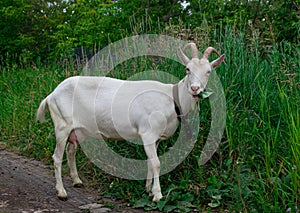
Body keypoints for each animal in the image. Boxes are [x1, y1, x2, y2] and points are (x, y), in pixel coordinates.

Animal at [36, 42, 225, 201]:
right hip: (62, 125)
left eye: (208, 71)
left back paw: (77, 181)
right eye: (187, 69)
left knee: (70, 151)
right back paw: (61, 192)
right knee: (57, 156)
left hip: (78, 130)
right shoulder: (148, 133)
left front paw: (148, 189)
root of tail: (52, 94)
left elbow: (150, 162)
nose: (195, 89)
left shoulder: (155, 138)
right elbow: (157, 163)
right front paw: (158, 195)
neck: (171, 99)